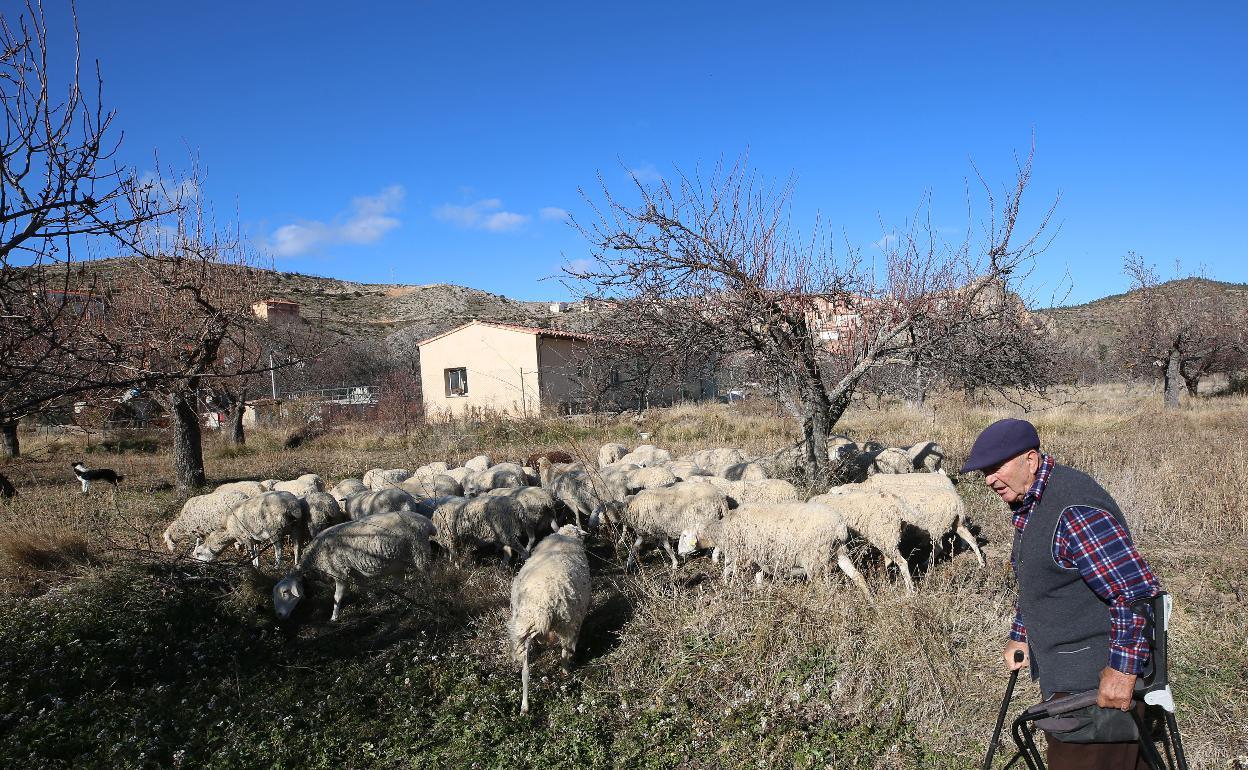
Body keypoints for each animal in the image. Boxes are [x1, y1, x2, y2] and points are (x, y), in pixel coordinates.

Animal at [273, 511, 439, 623]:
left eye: (285, 592)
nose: (279, 616)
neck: (316, 556)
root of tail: (426, 522)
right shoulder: (355, 571)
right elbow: (363, 588)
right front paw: (375, 600)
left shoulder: (339, 572)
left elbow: (337, 597)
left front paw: (334, 617)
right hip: (401, 561)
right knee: (399, 581)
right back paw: (398, 597)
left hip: (419, 553)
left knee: (428, 576)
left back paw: (432, 596)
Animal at [506, 526, 589, 713]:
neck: (565, 537)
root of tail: (543, 606)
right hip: (567, 623)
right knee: (566, 651)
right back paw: (566, 672)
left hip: (525, 627)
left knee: (526, 671)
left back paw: (524, 707)